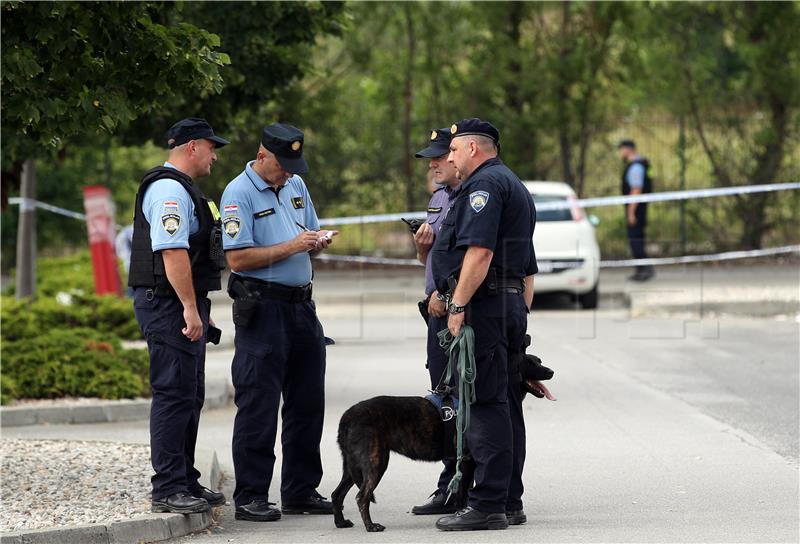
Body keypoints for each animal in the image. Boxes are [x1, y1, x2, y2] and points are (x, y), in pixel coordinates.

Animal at [330, 350, 552, 528]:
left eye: (539, 361)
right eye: (530, 363)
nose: (551, 372)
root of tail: (348, 415)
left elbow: (463, 493)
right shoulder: (467, 462)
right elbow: (463, 495)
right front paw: (462, 516)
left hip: (353, 466)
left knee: (337, 494)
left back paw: (341, 522)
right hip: (375, 462)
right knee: (362, 496)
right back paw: (371, 526)